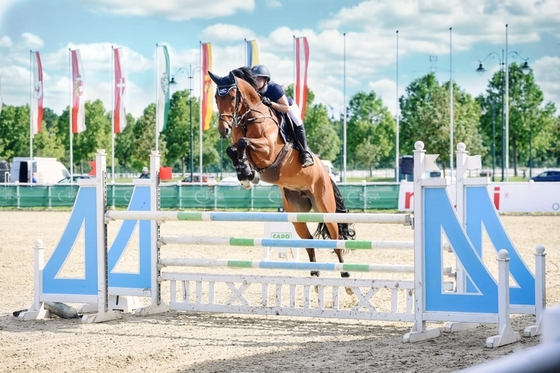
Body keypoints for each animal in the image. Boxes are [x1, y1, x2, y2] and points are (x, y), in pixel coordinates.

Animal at [208, 67, 356, 282]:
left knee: (335, 237)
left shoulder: (268, 150)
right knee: (308, 239)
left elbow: (244, 142)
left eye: (233, 96)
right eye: (216, 98)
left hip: (325, 207)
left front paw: (247, 172)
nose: (223, 130)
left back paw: (344, 272)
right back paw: (315, 271)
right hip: (295, 212)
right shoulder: (241, 146)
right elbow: (233, 149)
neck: (250, 118)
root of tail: (326, 175)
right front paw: (245, 174)